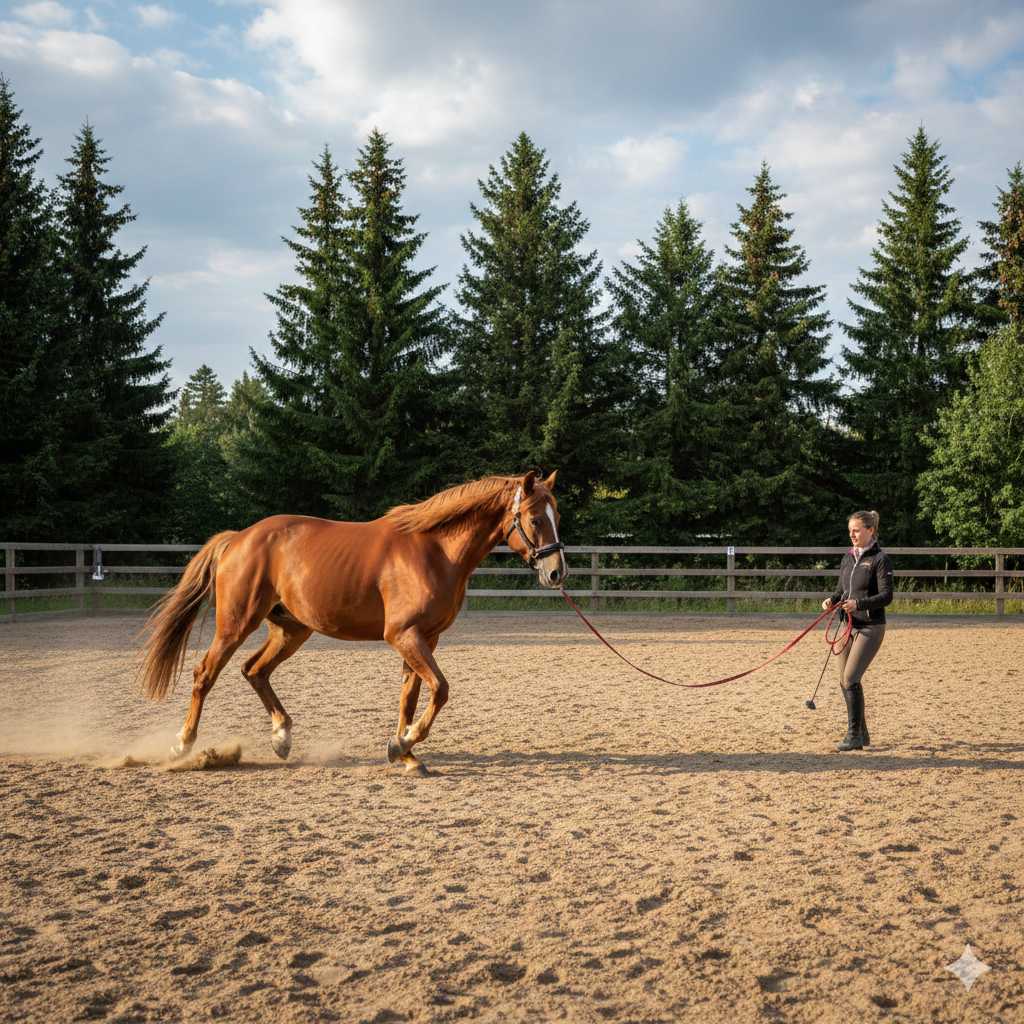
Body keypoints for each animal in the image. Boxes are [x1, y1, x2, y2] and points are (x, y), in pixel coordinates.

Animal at [138, 471, 566, 773]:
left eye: (556, 515)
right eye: (534, 518)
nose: (556, 572)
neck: (434, 551)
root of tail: (239, 538)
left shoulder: (424, 639)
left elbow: (411, 696)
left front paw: (403, 752)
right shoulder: (404, 636)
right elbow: (440, 689)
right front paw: (405, 743)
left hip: (291, 630)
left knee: (254, 670)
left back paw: (281, 736)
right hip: (236, 624)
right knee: (205, 674)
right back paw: (183, 744)